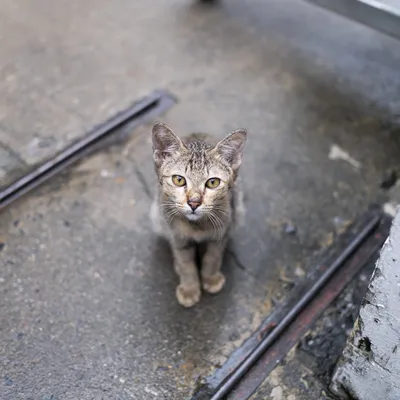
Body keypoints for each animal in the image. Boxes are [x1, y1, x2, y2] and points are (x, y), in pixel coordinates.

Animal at [150, 122, 247, 306]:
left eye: (213, 182)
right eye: (179, 180)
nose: (194, 203)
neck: (197, 226)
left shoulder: (222, 232)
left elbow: (212, 257)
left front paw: (211, 278)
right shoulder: (178, 237)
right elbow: (186, 263)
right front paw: (189, 288)